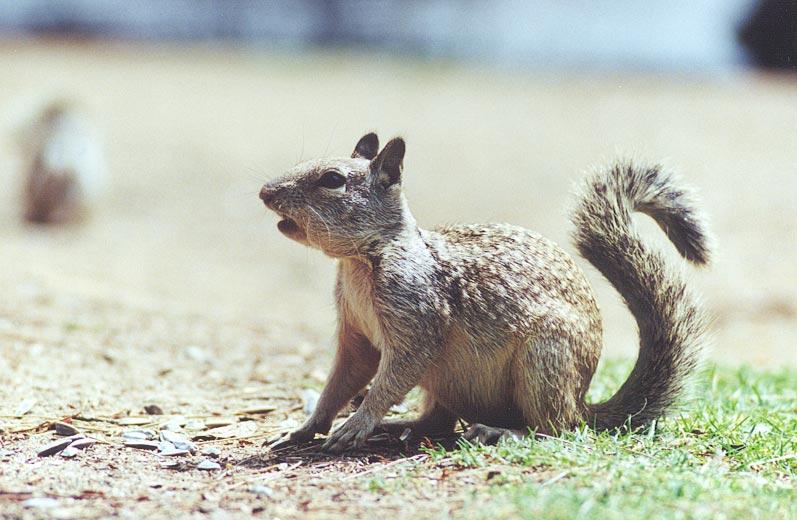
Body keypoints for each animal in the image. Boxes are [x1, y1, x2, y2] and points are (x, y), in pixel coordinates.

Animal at [260, 133, 708, 450]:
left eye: (332, 180)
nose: (265, 192)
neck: (361, 259)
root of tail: (582, 403)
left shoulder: (416, 314)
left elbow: (397, 371)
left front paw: (357, 425)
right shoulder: (355, 335)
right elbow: (342, 379)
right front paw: (304, 429)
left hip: (543, 362)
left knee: (556, 428)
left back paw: (501, 432)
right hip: (446, 383)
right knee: (439, 421)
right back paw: (404, 426)